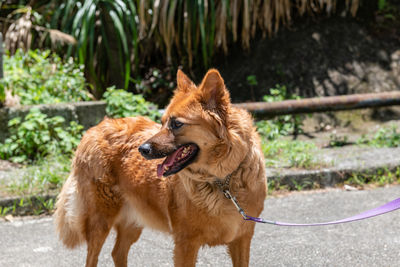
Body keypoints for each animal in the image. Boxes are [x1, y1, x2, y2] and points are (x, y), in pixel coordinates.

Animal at [53, 69, 266, 267]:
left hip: (133, 222)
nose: (142, 149)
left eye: (176, 124)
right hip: (100, 221)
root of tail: (95, 129)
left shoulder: (242, 238)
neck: (221, 181)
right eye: (162, 123)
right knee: (93, 258)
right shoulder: (185, 244)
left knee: (117, 252)